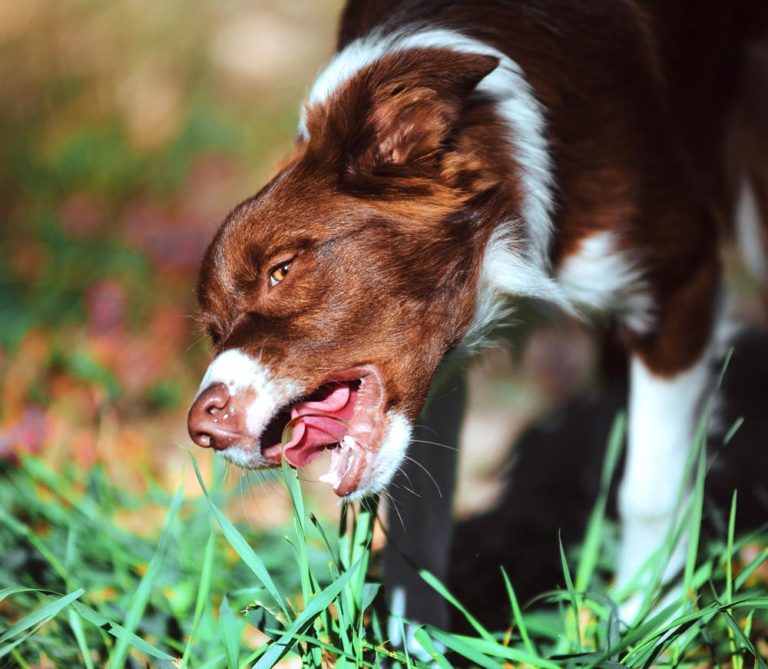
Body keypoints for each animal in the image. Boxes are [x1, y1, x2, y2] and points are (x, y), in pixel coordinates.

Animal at [188, 0, 768, 628]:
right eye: (215, 331)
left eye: (282, 269)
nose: (201, 429)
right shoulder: (440, 374)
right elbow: (418, 530)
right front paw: (415, 640)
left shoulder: (681, 282)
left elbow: (651, 490)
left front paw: (647, 621)